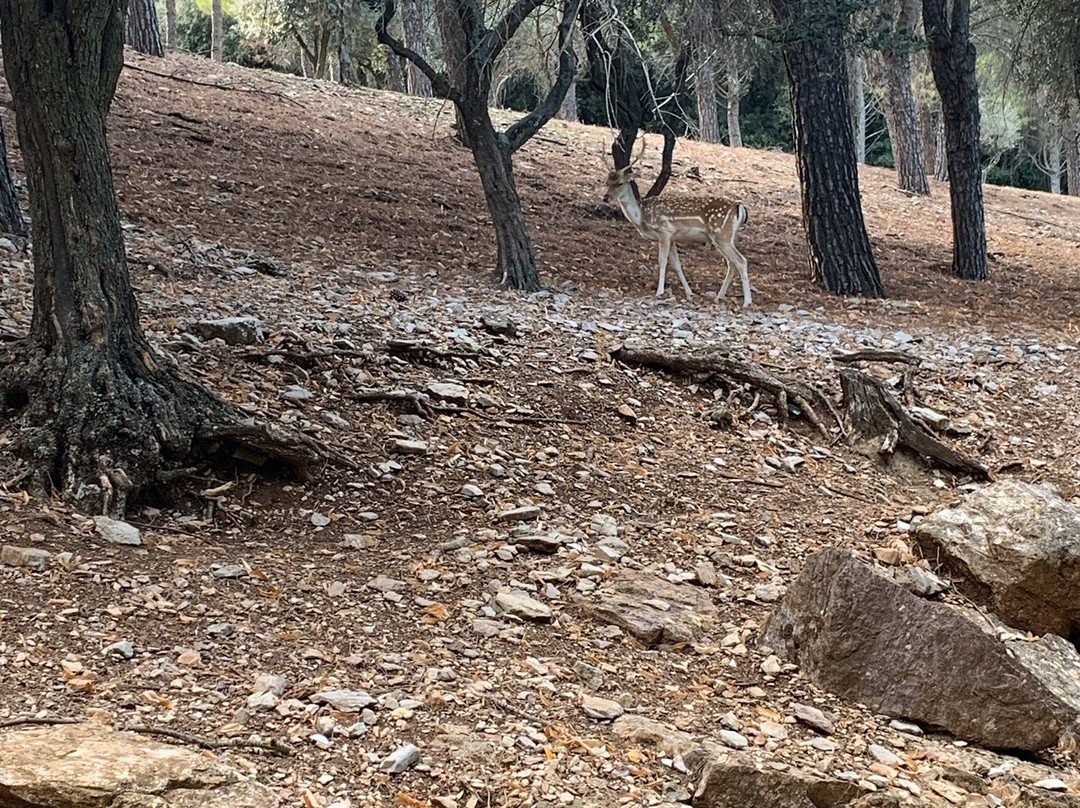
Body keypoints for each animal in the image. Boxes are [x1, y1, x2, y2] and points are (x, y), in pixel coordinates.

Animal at [600, 144, 751, 306]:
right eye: (607, 182)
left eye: (620, 183)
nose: (606, 198)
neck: (642, 217)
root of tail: (739, 207)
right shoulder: (672, 238)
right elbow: (677, 265)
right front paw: (689, 293)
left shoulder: (664, 231)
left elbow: (662, 261)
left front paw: (659, 292)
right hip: (727, 236)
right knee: (731, 263)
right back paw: (719, 297)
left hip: (721, 235)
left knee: (741, 261)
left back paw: (746, 302)